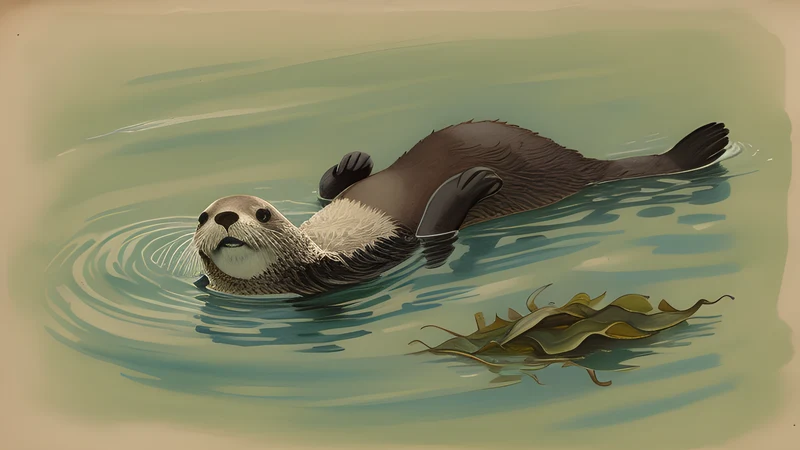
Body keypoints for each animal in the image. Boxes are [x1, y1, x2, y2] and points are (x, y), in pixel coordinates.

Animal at [193, 120, 733, 296]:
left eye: (262, 212)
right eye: (202, 217)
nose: (225, 216)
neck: (323, 250)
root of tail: (577, 164)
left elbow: (329, 193)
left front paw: (351, 166)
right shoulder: (370, 262)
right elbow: (432, 238)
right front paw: (463, 187)